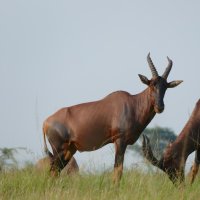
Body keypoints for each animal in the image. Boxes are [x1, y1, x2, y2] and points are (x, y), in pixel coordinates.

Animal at [43, 53, 182, 183]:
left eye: (165, 86)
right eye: (151, 84)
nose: (160, 107)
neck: (132, 104)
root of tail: (46, 122)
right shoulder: (120, 141)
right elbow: (118, 171)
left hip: (69, 151)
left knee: (55, 172)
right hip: (59, 150)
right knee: (52, 172)